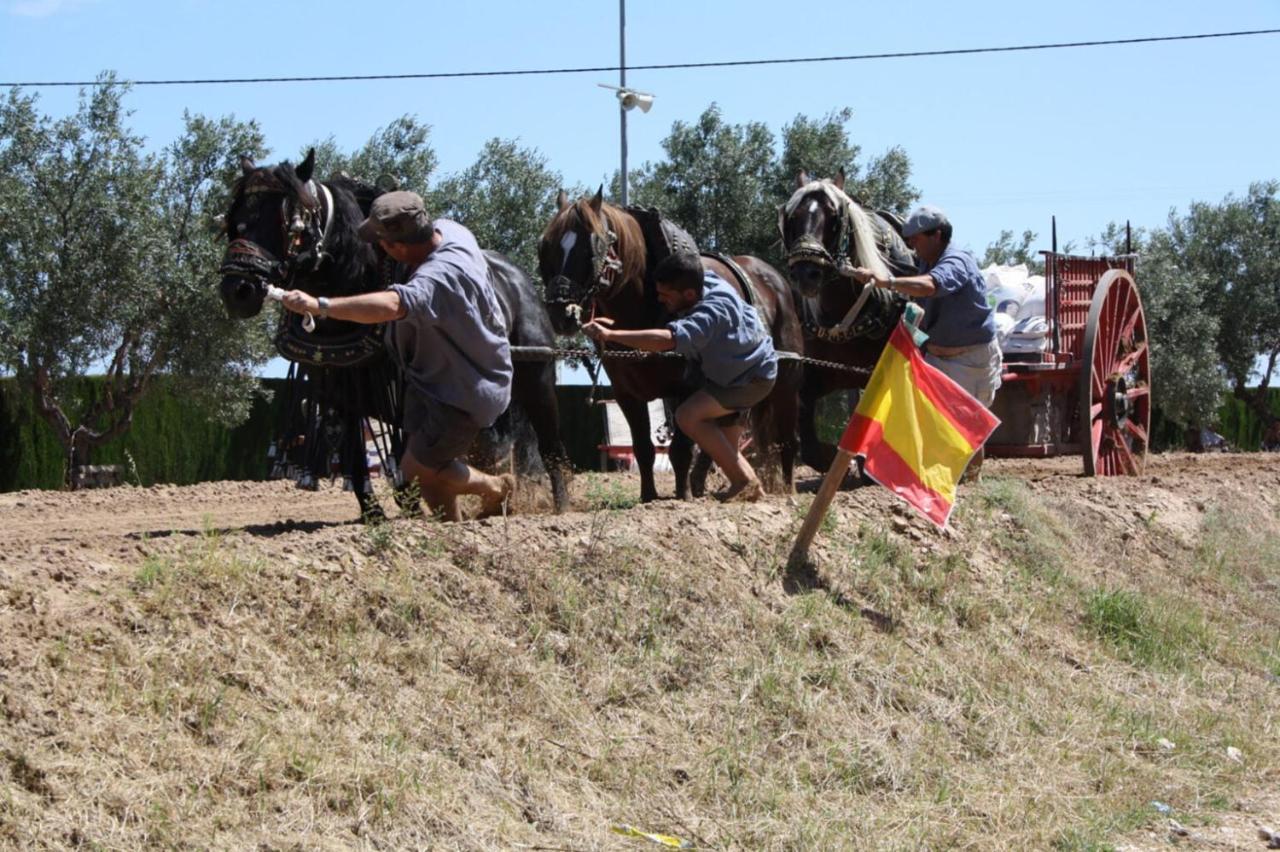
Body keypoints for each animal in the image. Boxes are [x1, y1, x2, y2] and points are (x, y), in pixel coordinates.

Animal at [537, 188, 798, 498]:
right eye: (546, 248)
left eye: (592, 247)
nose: (560, 312)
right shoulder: (627, 393)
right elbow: (643, 448)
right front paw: (648, 496)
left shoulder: (686, 388)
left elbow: (680, 450)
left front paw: (682, 497)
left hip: (784, 384)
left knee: (785, 439)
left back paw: (786, 490)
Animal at [773, 168, 916, 468]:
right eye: (792, 217)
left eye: (833, 216)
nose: (806, 273)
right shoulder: (817, 374)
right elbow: (810, 443)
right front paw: (833, 458)